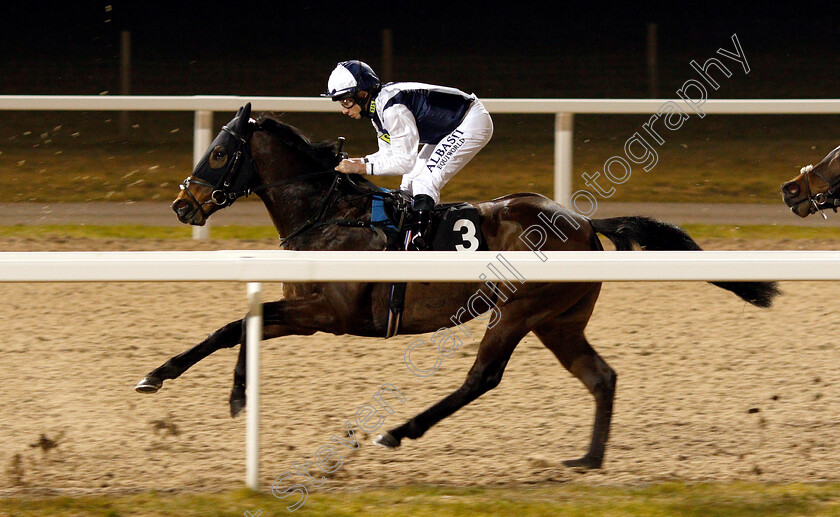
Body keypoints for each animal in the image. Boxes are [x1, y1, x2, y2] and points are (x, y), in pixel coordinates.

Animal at [138, 104, 780, 468]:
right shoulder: (304, 306)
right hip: (559, 321)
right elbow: (234, 327)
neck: (328, 212)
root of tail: (582, 222)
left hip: (517, 312)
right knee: (601, 376)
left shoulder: (331, 314)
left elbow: (237, 325)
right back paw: (588, 460)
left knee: (482, 378)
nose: (181, 205)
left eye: (220, 152)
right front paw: (178, 380)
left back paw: (398, 432)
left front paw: (228, 392)